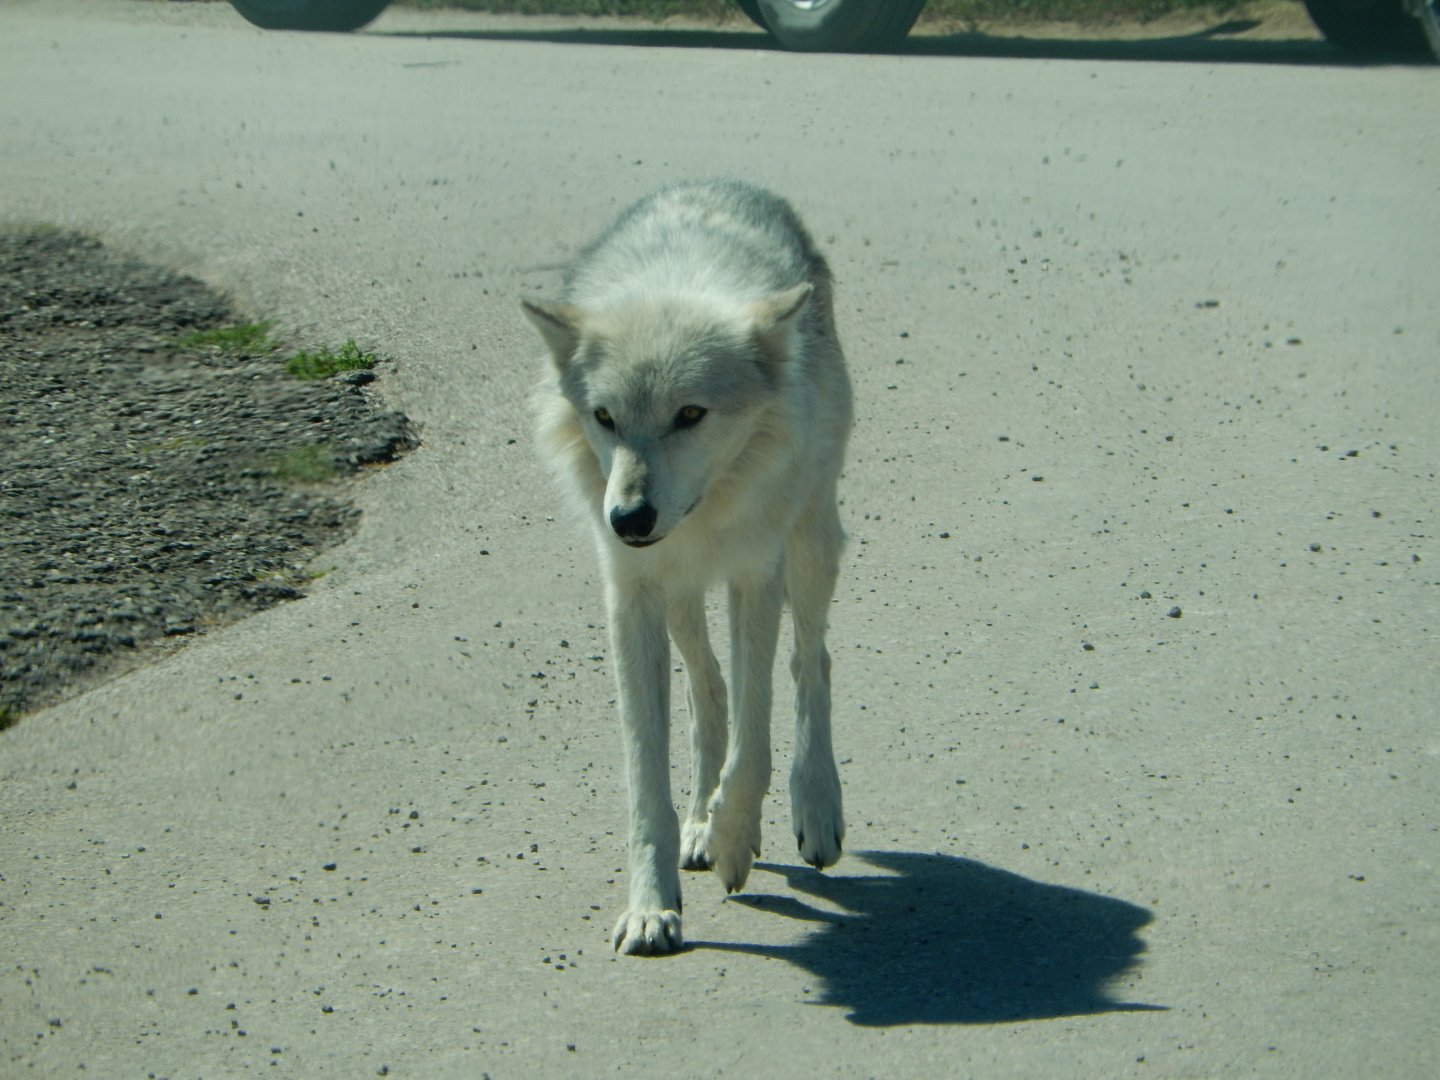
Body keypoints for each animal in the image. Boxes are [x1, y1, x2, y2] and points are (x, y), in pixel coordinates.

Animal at [524, 179, 853, 955]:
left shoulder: (755, 575)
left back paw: (815, 808)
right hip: (678, 595)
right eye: (605, 417)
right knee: (710, 691)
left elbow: (754, 744)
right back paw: (702, 823)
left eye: (691, 414)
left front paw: (736, 840)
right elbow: (649, 776)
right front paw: (653, 906)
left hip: (811, 542)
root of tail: (726, 183)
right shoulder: (632, 595)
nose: (629, 518)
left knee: (810, 664)